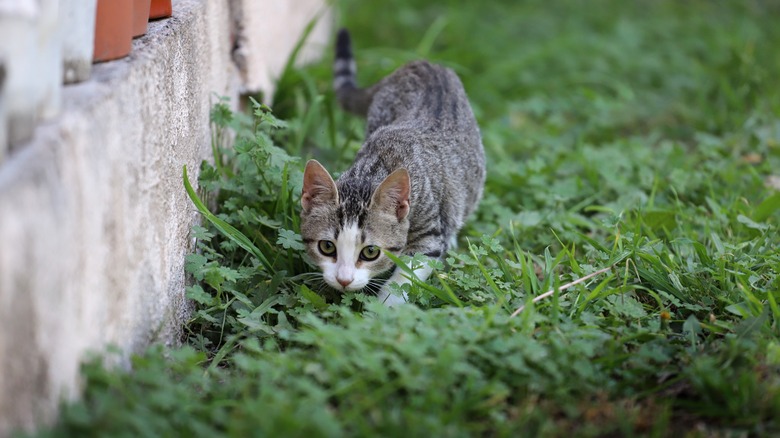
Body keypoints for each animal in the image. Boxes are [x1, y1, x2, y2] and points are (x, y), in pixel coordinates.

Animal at [302, 29, 484, 306]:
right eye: (327, 247)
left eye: (370, 252)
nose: (344, 280)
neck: (373, 170)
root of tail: (421, 63)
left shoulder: (429, 231)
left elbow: (410, 271)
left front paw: (384, 308)